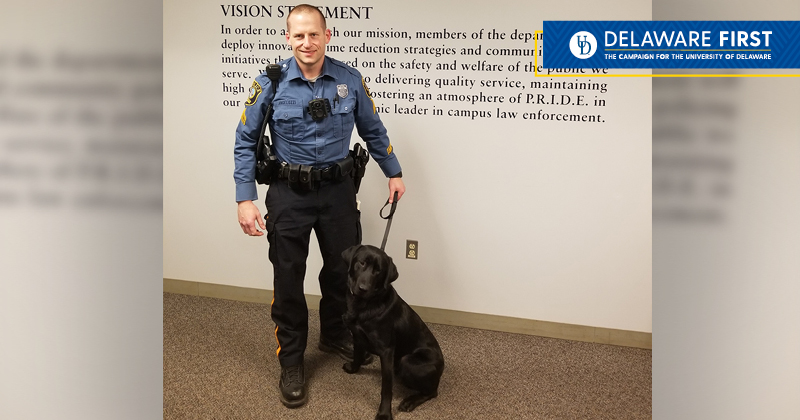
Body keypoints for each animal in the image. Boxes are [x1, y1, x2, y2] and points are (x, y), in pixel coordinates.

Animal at [342, 244, 446, 420]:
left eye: (378, 270)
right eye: (361, 263)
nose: (363, 289)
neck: (365, 305)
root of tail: (442, 368)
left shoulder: (387, 351)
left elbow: (386, 388)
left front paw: (384, 413)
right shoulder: (357, 336)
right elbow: (357, 355)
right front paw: (353, 368)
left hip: (408, 361)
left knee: (432, 392)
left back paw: (410, 401)